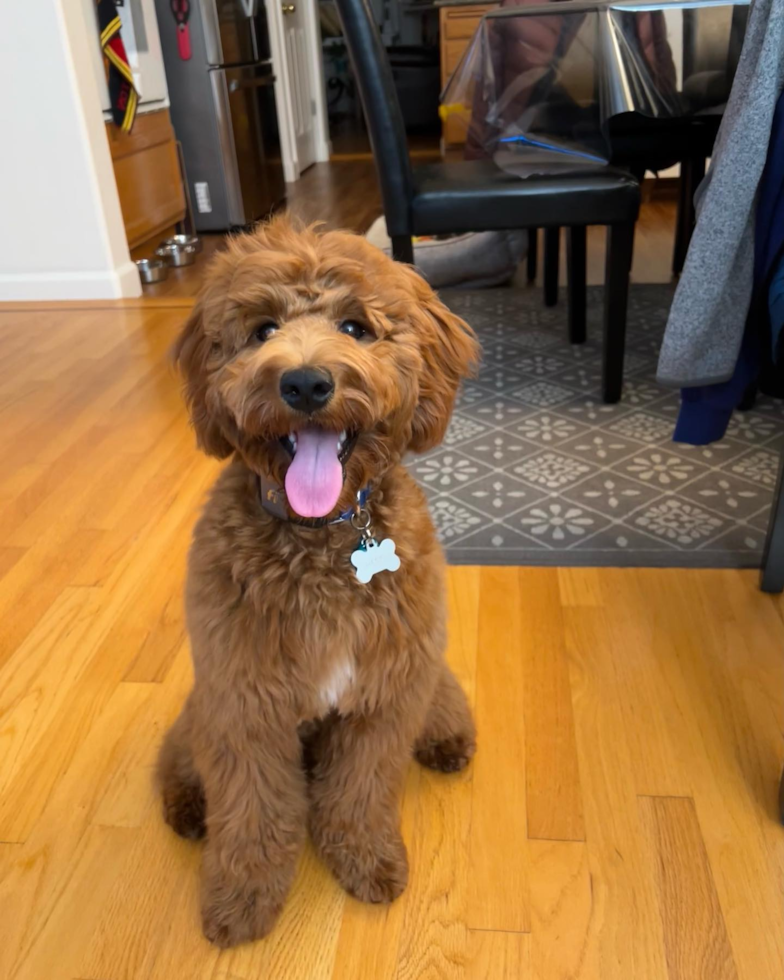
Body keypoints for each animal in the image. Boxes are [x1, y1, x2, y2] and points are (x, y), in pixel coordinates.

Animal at [157, 216, 480, 948]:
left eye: (357, 327)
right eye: (262, 330)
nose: (304, 384)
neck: (320, 539)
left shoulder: (384, 695)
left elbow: (360, 792)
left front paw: (367, 861)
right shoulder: (244, 701)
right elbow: (252, 814)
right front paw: (241, 901)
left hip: (423, 675)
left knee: (441, 705)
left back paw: (449, 740)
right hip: (202, 706)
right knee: (183, 756)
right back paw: (187, 806)